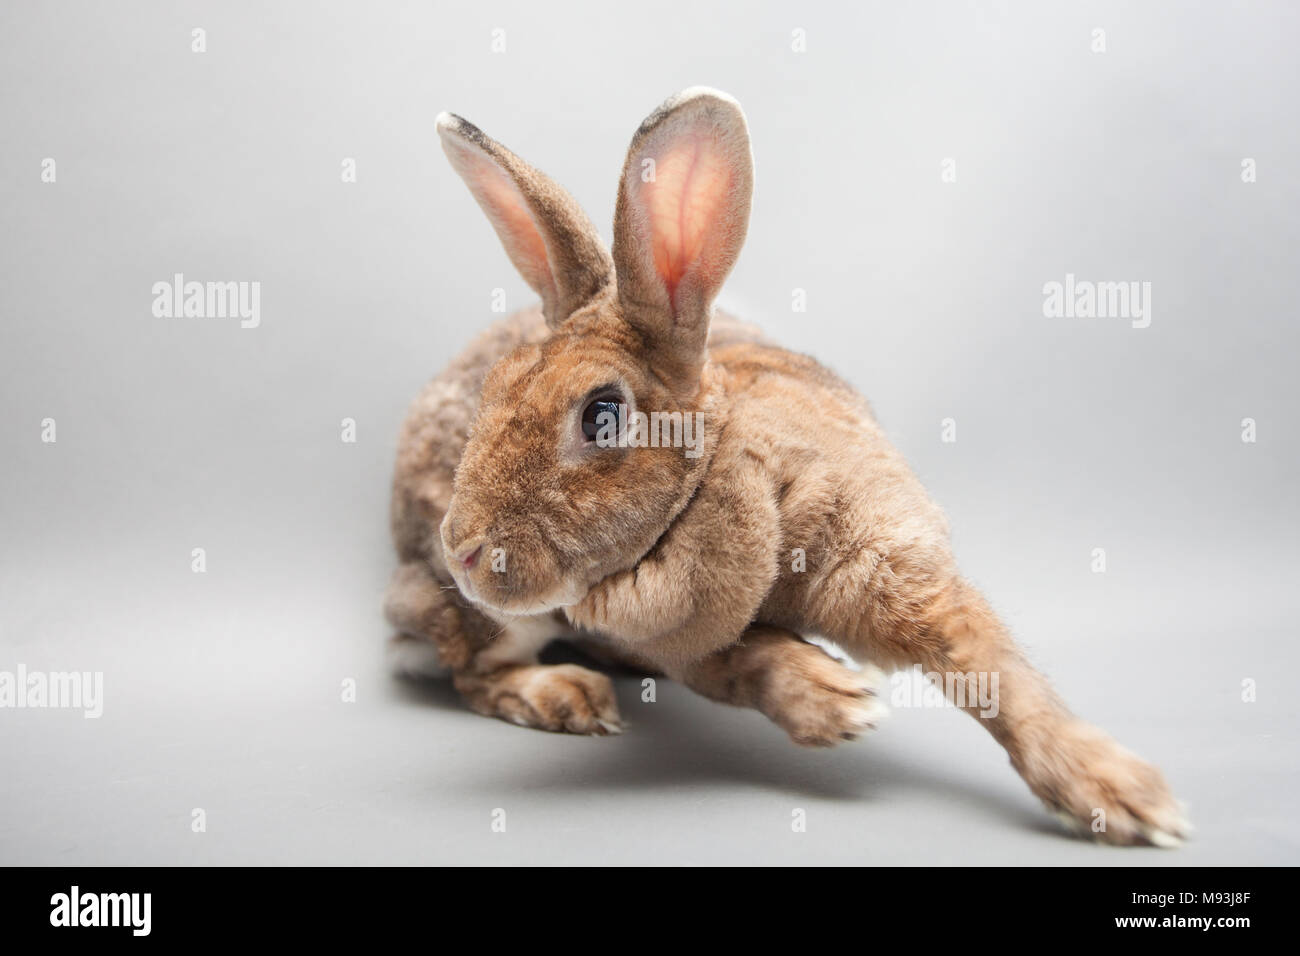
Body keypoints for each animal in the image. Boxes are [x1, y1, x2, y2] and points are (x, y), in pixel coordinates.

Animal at [385, 87, 1188, 846]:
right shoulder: (695, 650)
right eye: (494, 386)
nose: (463, 551)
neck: (717, 482)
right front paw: (839, 703)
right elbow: (750, 666)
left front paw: (1127, 799)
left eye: (602, 415)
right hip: (489, 624)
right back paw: (568, 697)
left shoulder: (895, 564)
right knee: (475, 672)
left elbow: (998, 675)